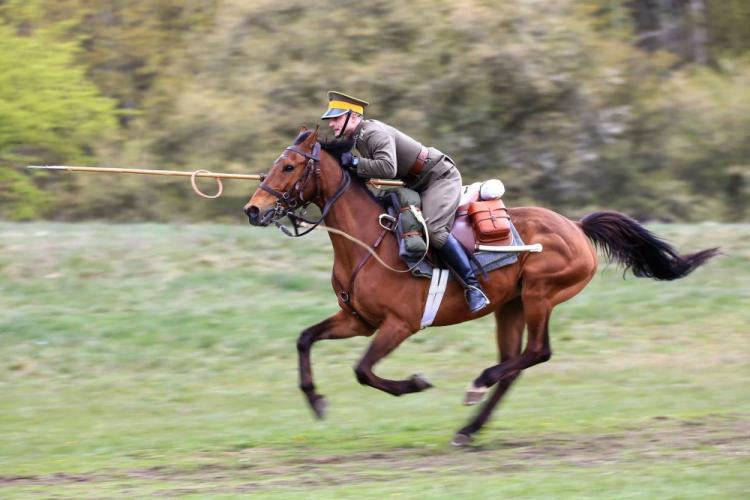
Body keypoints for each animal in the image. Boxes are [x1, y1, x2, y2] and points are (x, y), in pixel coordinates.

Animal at [244, 127, 720, 444]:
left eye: (288, 165)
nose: (253, 210)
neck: (367, 239)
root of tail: (577, 227)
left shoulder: (399, 324)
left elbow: (363, 371)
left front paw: (415, 383)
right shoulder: (357, 320)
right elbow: (306, 339)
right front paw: (316, 401)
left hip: (540, 296)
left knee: (537, 352)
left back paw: (478, 384)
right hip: (510, 307)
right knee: (515, 366)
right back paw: (469, 428)